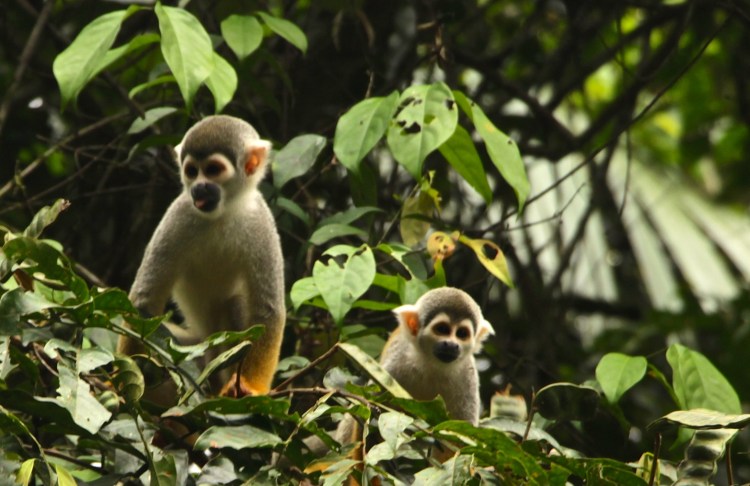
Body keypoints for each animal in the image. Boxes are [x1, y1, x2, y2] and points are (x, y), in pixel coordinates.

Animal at [118, 115, 285, 399]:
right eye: (191, 171)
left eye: (213, 169)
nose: (199, 188)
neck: (223, 213)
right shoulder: (180, 213)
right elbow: (145, 301)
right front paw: (118, 385)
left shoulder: (260, 222)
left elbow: (267, 310)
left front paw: (251, 386)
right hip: (189, 347)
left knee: (236, 303)